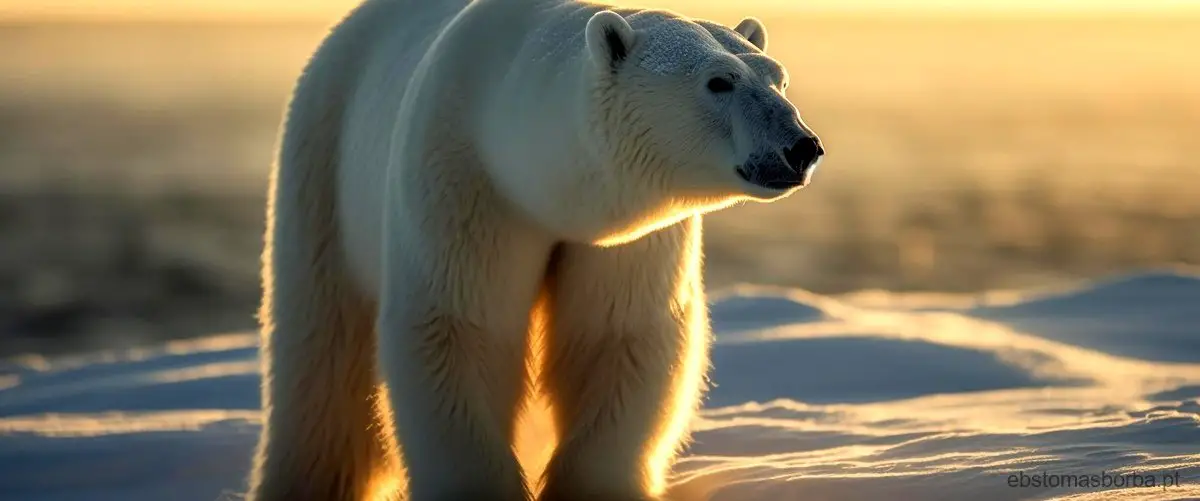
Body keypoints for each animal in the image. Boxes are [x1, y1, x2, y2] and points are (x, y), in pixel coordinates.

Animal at [247, 0, 820, 498]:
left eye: (778, 78)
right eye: (718, 81)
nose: (802, 147)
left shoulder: (627, 239)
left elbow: (617, 339)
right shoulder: (464, 183)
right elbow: (459, 332)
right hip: (323, 170)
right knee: (320, 361)